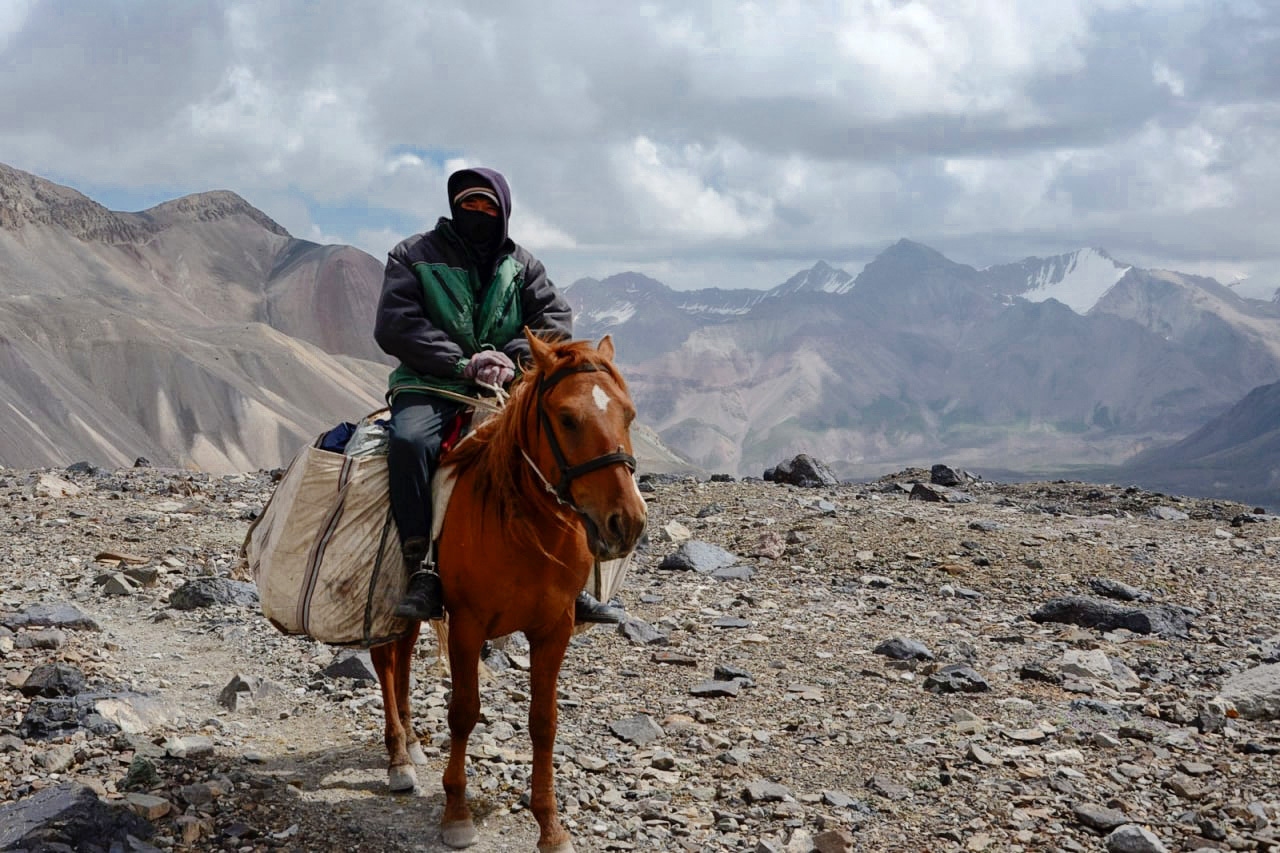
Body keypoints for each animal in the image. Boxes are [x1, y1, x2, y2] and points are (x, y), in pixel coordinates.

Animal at [371, 333, 650, 850]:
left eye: (629, 413)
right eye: (567, 418)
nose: (627, 523)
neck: (524, 527)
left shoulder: (554, 628)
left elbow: (544, 722)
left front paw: (551, 827)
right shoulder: (467, 625)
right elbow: (463, 712)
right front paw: (456, 814)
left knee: (402, 658)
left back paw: (413, 746)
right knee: (385, 661)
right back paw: (398, 759)